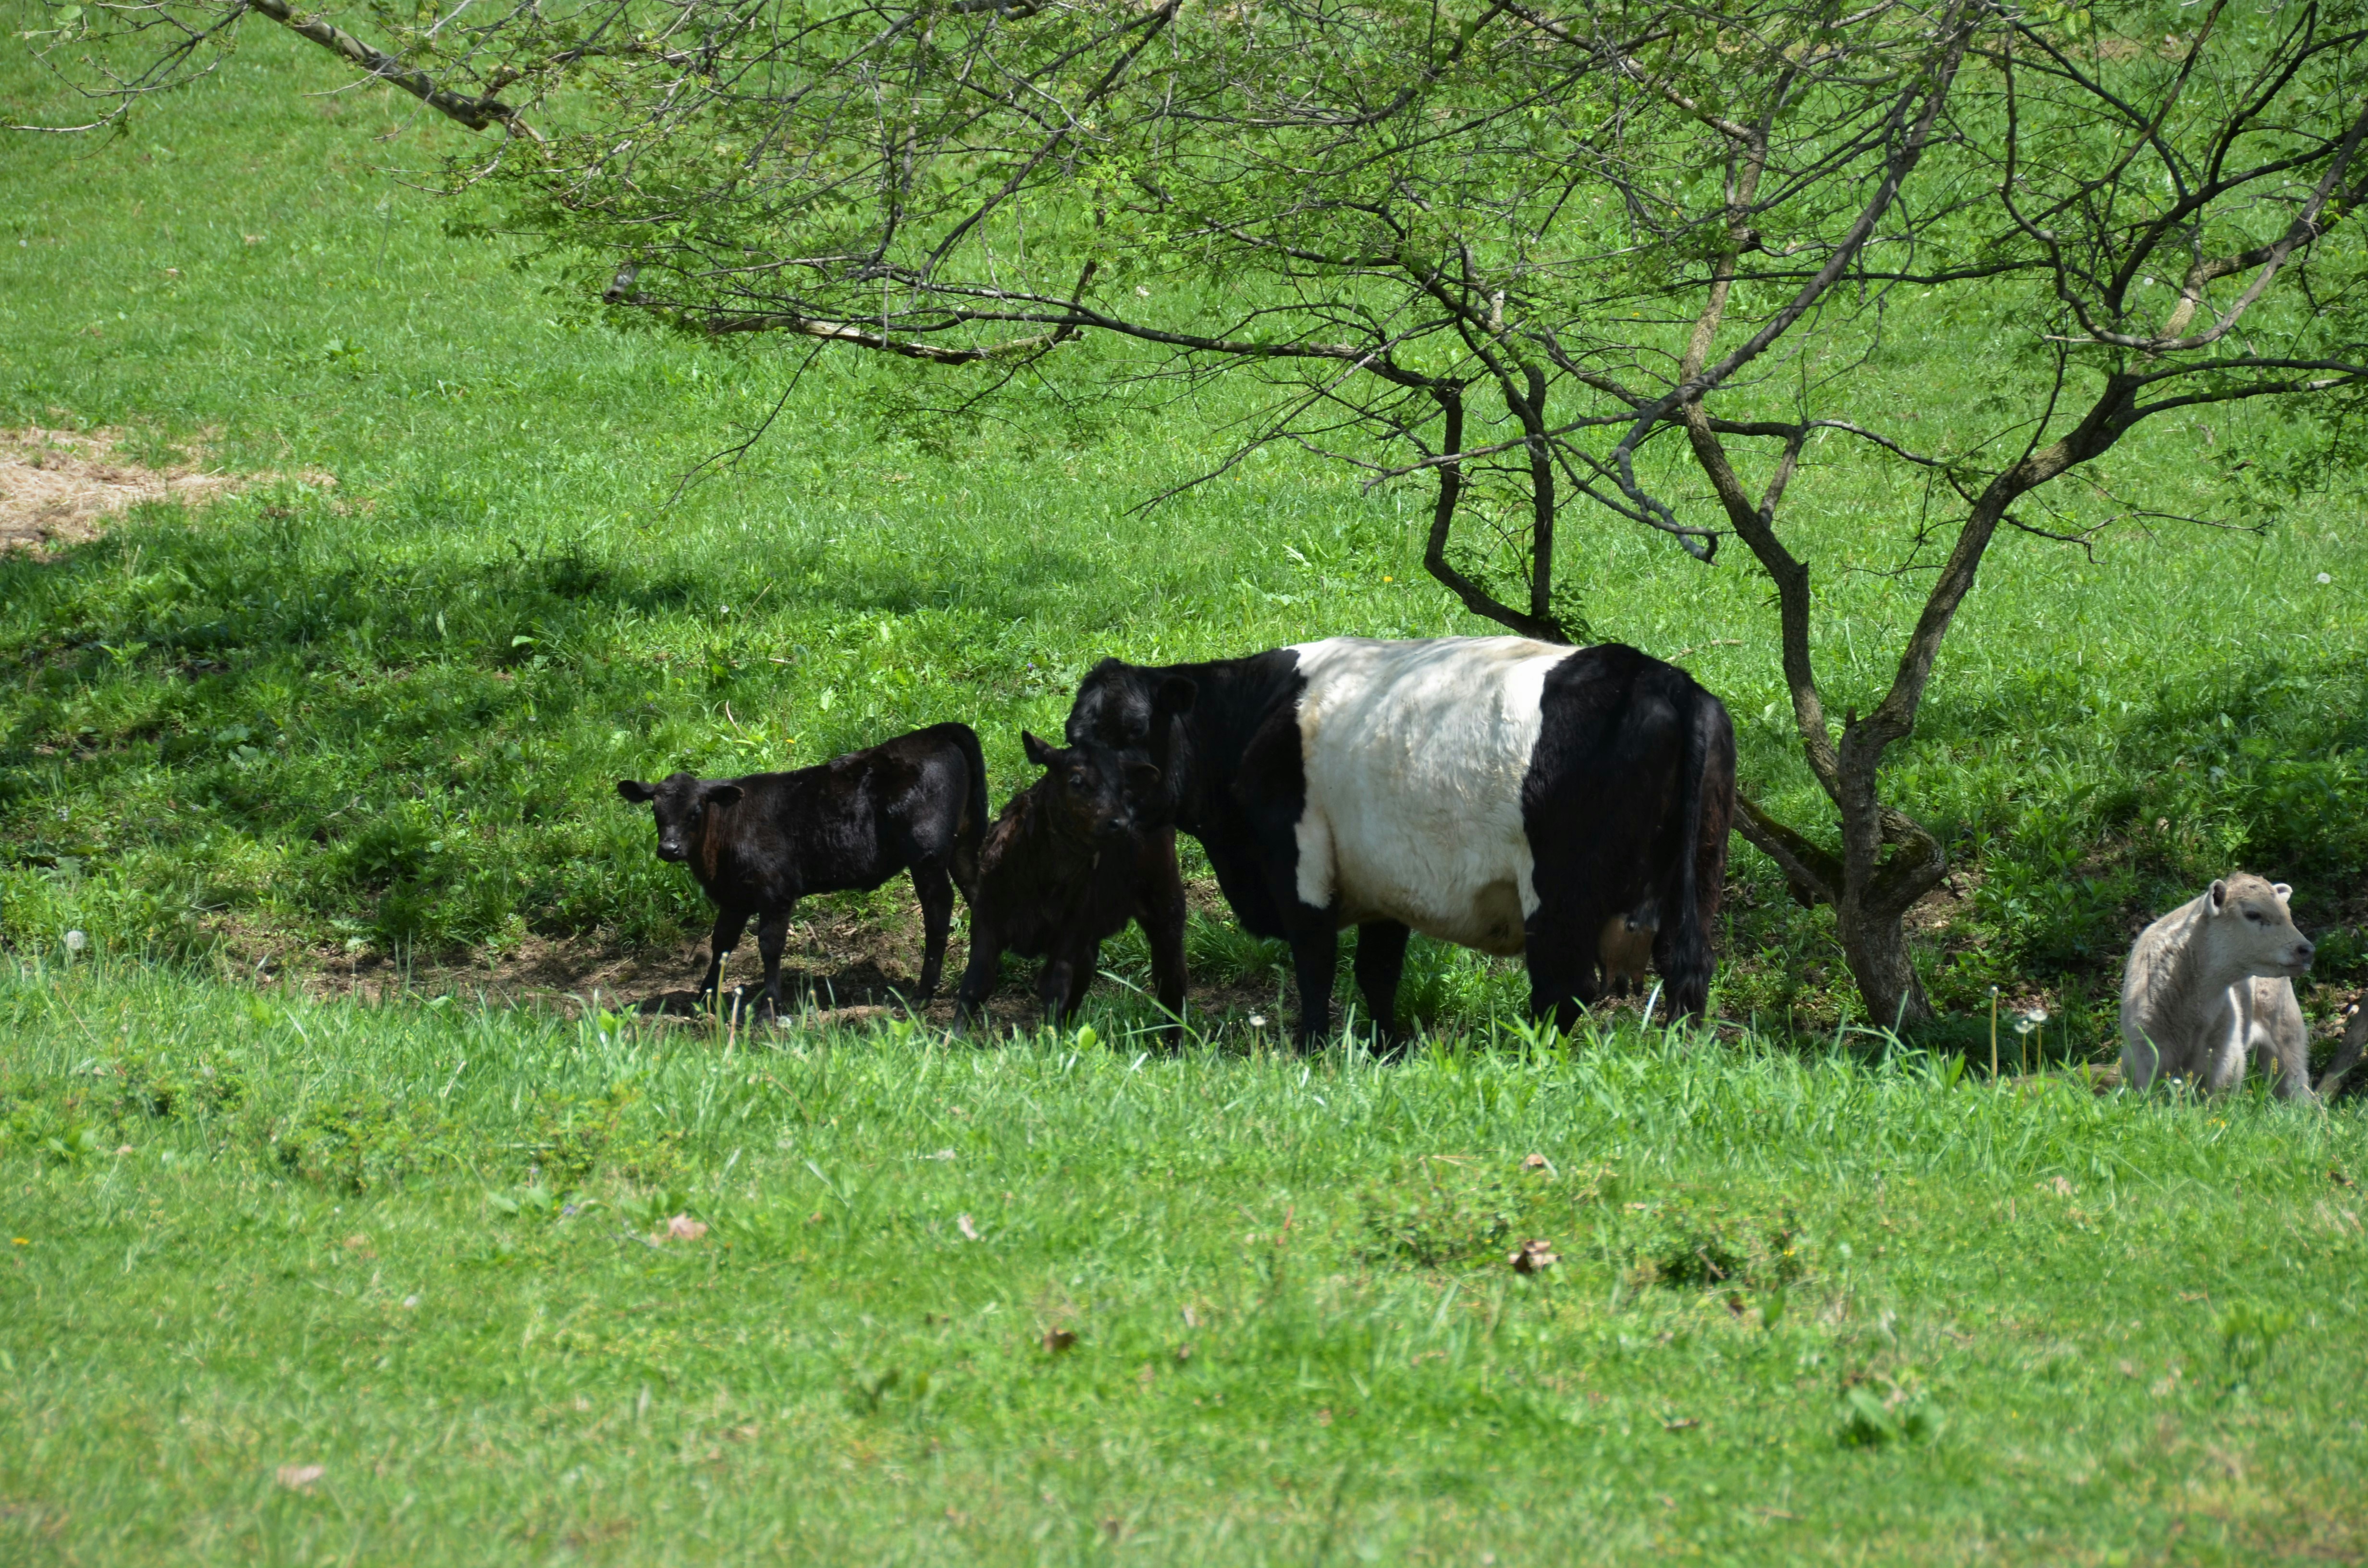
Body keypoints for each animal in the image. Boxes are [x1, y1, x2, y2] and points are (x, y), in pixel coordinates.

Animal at [617, 722, 988, 1015]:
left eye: (696, 811)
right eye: (656, 810)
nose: (669, 849)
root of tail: (935, 731)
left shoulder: (775, 891)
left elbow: (769, 944)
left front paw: (770, 1006)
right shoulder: (735, 898)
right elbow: (721, 943)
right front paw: (703, 998)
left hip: (927, 854)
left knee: (938, 909)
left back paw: (924, 993)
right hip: (964, 844)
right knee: (979, 897)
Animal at [954, 732, 1188, 1033]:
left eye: (1123, 787)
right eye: (1076, 781)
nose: (1121, 823)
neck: (1043, 878)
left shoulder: (1074, 927)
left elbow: (1055, 988)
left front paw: (1049, 1040)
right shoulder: (986, 916)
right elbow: (977, 985)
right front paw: (952, 1038)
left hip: (1165, 900)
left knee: (1171, 982)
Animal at [1066, 637, 1736, 1047]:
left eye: (1134, 731)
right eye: (1074, 736)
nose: (1093, 809)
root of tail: (1664, 680)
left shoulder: (1297, 862)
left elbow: (1315, 963)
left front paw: (1311, 1048)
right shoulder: (1382, 880)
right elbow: (1376, 973)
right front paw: (1385, 1048)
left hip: (1561, 891)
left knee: (1563, 986)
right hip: (1697, 878)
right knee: (1687, 967)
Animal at [2119, 873, 2316, 1100]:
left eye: (2288, 915)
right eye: (2253, 914)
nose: (2307, 950)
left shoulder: (2226, 1057)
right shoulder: (2143, 1054)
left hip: (2286, 1031)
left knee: (2293, 1083)